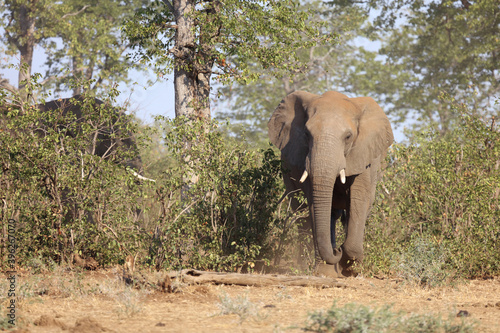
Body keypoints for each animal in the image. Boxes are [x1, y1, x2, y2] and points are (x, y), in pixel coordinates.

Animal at [268, 89, 392, 276]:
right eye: (307, 134)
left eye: (348, 136)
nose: (337, 251)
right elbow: (314, 204)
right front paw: (329, 269)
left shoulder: (364, 156)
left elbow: (359, 200)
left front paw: (349, 268)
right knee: (303, 211)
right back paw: (306, 265)